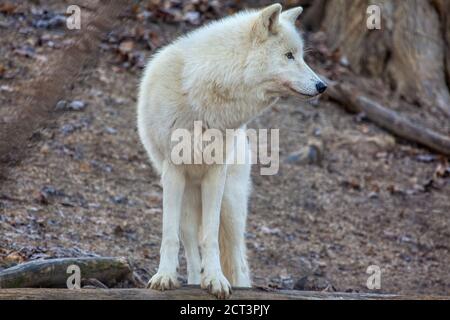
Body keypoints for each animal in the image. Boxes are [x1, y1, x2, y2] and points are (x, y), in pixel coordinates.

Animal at [137, 2, 326, 298]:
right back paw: (193, 280)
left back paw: (236, 284)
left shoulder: (216, 174)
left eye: (300, 56)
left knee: (238, 258)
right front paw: (164, 277)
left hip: (231, 203)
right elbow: (169, 235)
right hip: (188, 200)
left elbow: (210, 238)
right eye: (289, 56)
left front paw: (215, 280)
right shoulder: (173, 172)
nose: (322, 86)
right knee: (190, 245)